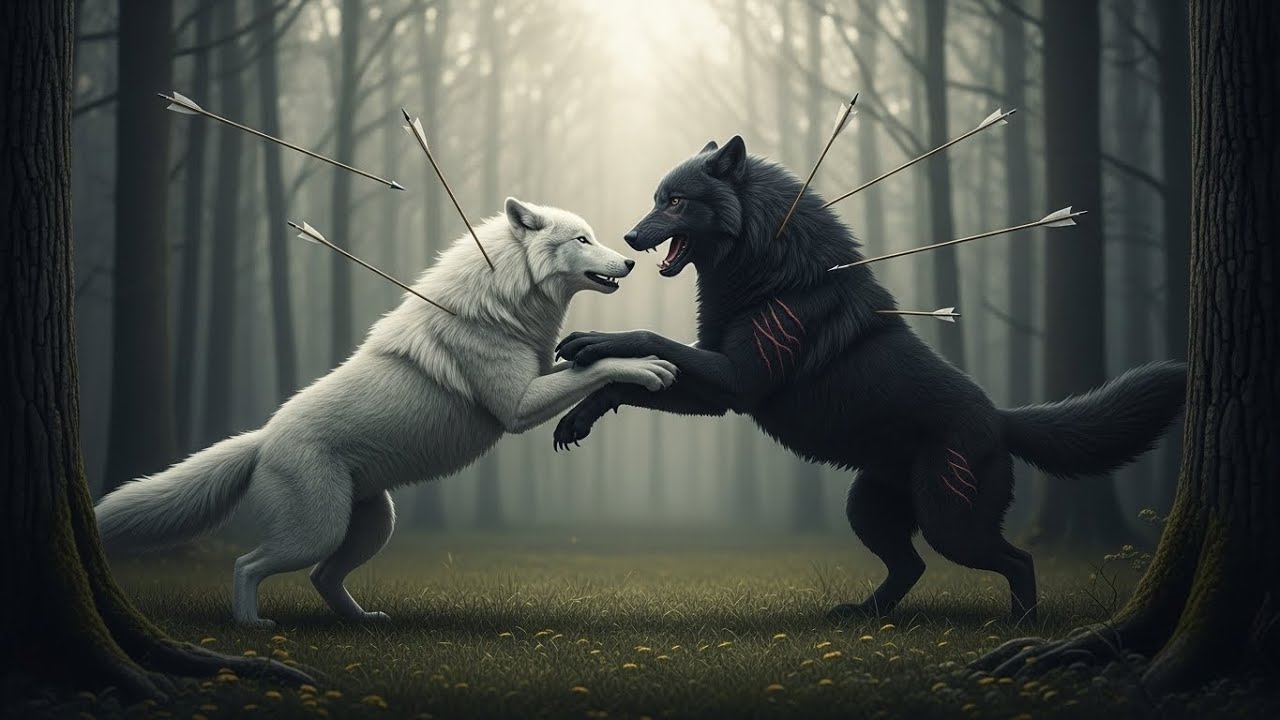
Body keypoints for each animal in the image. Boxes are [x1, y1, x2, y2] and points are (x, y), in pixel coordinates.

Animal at [96, 198, 678, 628]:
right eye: (582, 240)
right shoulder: (516, 407)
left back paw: (363, 621)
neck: (503, 301)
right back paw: (251, 625)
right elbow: (589, 374)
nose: (630, 261)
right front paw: (646, 366)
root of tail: (261, 438)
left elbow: (582, 365)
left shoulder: (534, 379)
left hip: (374, 526)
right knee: (247, 565)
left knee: (322, 578)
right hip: (316, 532)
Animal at [550, 137, 1186, 622]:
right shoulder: (719, 390)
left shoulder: (735, 381)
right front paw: (577, 418)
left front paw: (590, 343)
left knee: (1017, 560)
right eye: (656, 200)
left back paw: (1021, 626)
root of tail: (1002, 418)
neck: (769, 271)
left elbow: (649, 337)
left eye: (677, 201)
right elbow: (631, 381)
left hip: (949, 521)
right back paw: (863, 614)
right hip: (868, 507)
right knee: (913, 566)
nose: (630, 241)